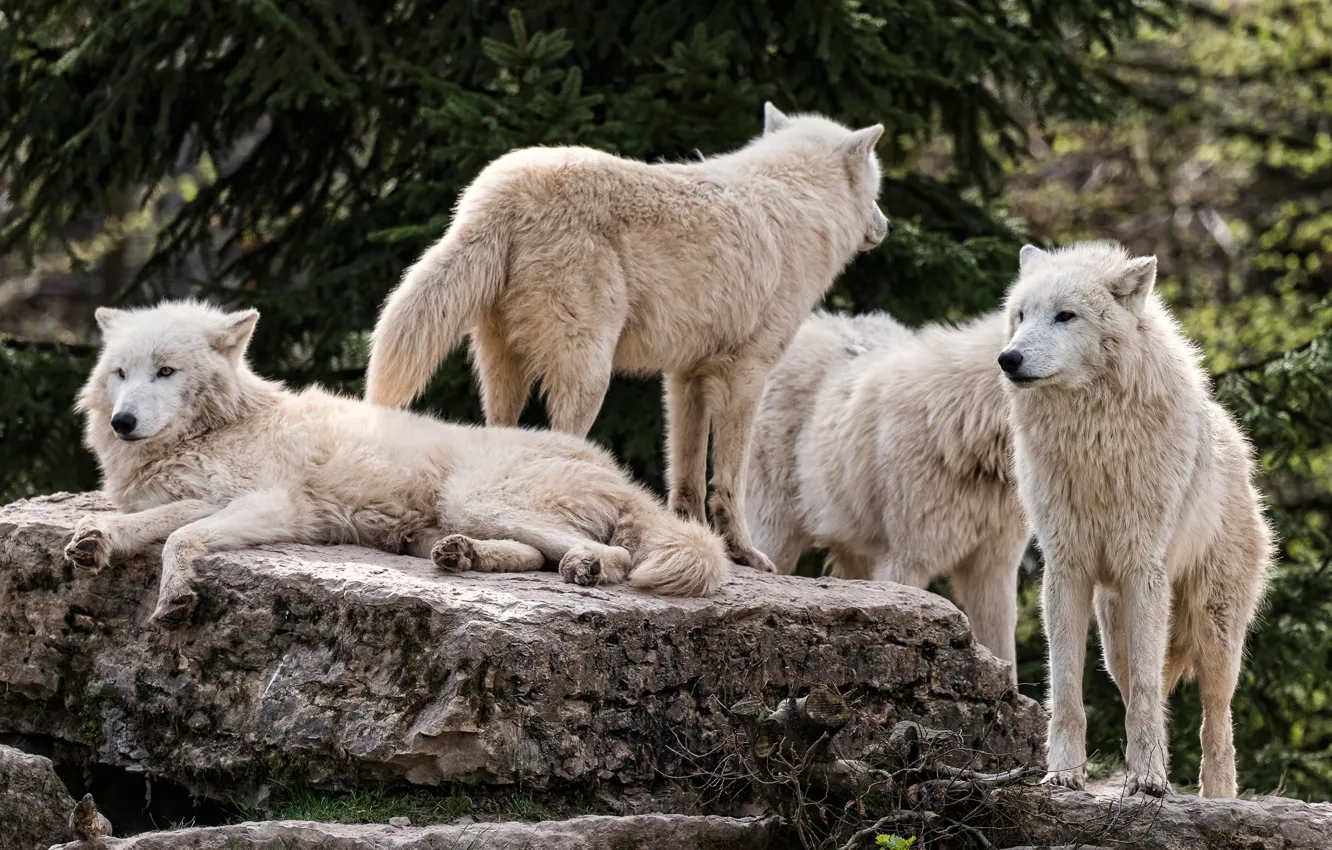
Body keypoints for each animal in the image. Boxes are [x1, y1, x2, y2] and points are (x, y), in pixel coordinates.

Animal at [65, 301, 728, 628]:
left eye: (166, 371)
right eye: (120, 373)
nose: (123, 422)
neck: (222, 425)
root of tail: (612, 468)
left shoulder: (269, 505)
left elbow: (180, 538)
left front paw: (175, 596)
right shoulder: (195, 499)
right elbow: (144, 524)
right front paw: (95, 540)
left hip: (475, 498)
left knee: (608, 554)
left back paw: (586, 567)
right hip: (440, 526)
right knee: (531, 555)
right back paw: (463, 556)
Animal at [363, 103, 890, 574]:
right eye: (877, 189)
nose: (885, 226)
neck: (796, 202)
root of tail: (500, 191)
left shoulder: (685, 377)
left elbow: (687, 475)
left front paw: (695, 534)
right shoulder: (747, 374)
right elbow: (728, 481)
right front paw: (746, 554)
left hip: (503, 370)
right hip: (589, 376)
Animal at [999, 241, 1273, 798]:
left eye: (1065, 316)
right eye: (1021, 316)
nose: (1008, 358)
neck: (1092, 440)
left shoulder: (1143, 570)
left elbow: (1150, 695)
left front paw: (1147, 781)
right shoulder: (1066, 569)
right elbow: (1067, 690)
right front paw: (1064, 774)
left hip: (1213, 631)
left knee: (1217, 720)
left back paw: (1217, 796)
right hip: (1114, 640)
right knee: (1140, 690)